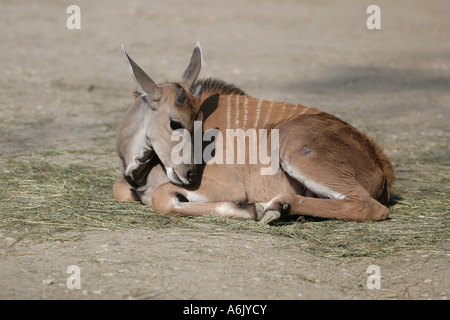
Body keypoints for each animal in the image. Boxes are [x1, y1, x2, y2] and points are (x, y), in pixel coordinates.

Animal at [112, 43, 394, 222]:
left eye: (198, 122)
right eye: (175, 122)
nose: (190, 174)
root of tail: (381, 164)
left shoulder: (225, 185)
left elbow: (160, 196)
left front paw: (249, 209)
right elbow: (122, 189)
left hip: (292, 141)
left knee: (369, 205)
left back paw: (277, 207)